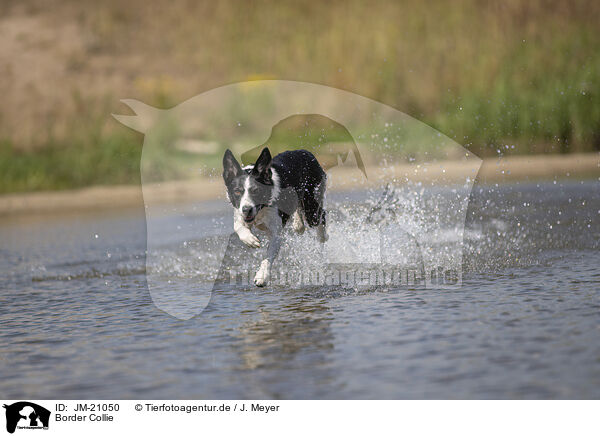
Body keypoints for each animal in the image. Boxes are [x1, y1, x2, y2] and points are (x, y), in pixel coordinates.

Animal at [223, 148, 328, 286]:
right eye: (237, 191)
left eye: (256, 191)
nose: (247, 209)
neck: (262, 209)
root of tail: (305, 151)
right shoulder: (240, 213)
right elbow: (238, 226)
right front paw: (250, 240)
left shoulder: (275, 234)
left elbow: (268, 256)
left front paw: (262, 276)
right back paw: (298, 224)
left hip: (312, 204)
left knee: (320, 216)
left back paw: (322, 237)